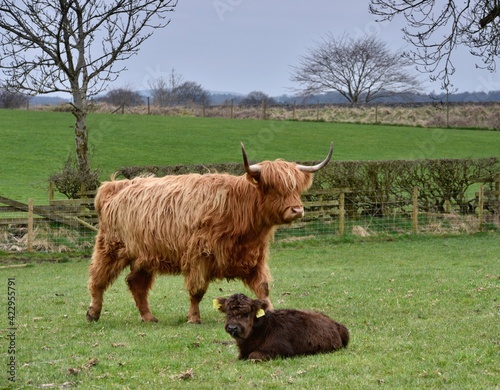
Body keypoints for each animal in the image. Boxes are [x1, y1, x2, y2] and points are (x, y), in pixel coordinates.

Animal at [86, 143, 332, 322]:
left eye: (296, 188)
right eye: (272, 187)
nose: (297, 210)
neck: (238, 210)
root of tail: (114, 186)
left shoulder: (255, 256)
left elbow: (263, 288)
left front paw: (269, 312)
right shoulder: (199, 256)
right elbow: (197, 290)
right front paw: (194, 318)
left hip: (144, 255)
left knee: (136, 283)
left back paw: (149, 317)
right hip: (111, 247)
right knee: (98, 279)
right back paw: (93, 313)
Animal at [216, 292, 352, 360]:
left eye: (246, 313)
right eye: (227, 313)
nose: (232, 327)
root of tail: (336, 324)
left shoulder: (281, 350)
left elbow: (253, 355)